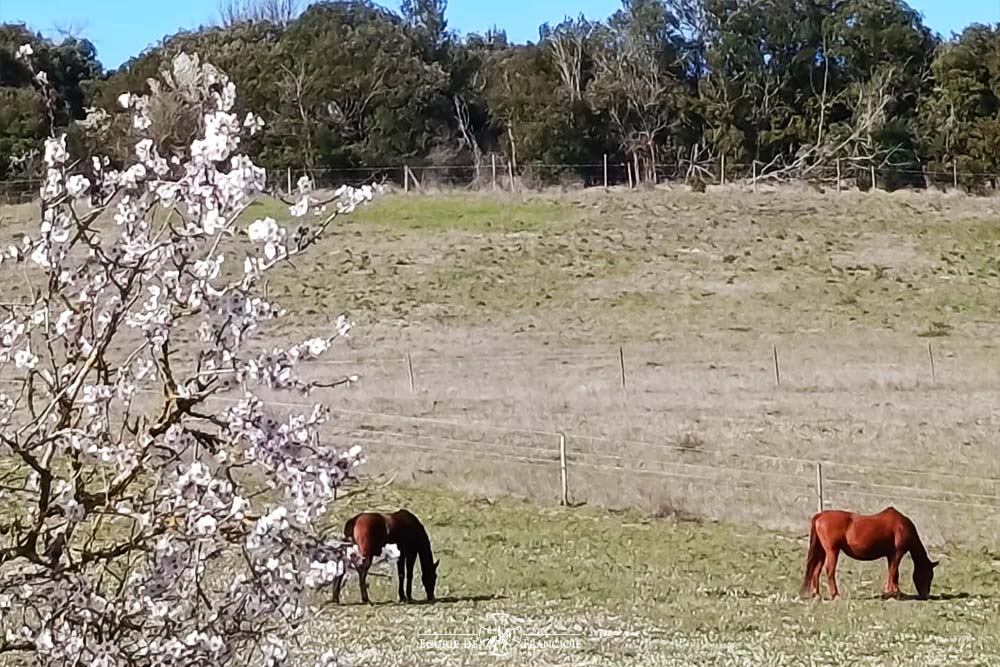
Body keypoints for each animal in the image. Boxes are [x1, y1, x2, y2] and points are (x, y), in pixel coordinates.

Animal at [801, 507, 938, 600]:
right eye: (929, 575)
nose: (925, 595)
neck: (902, 526)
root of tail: (820, 515)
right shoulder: (897, 553)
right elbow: (894, 573)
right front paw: (893, 592)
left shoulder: (891, 555)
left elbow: (892, 572)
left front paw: (893, 591)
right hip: (832, 550)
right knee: (829, 570)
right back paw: (835, 594)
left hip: (822, 551)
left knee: (816, 570)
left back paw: (817, 595)